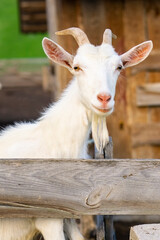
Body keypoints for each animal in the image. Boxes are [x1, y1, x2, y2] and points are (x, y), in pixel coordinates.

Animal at [0, 28, 152, 240]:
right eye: (77, 67)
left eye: (119, 67)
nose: (104, 98)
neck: (55, 142)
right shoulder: (49, 216)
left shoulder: (70, 213)